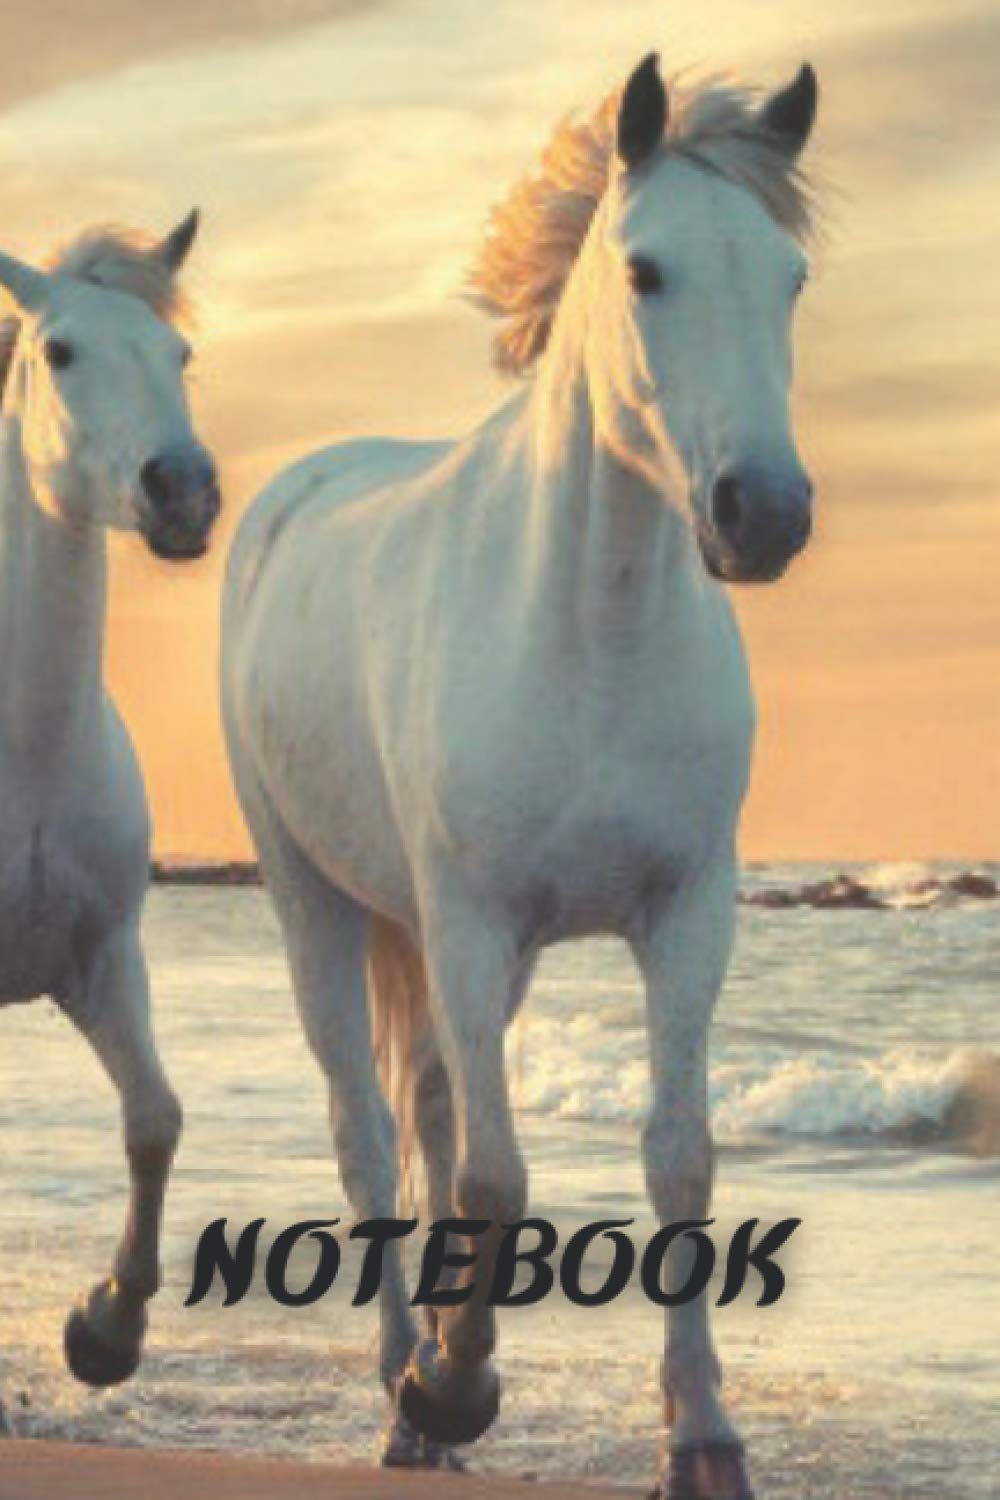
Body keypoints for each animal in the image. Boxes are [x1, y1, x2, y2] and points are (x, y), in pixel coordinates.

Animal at [221, 53, 818, 1500]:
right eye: (646, 271)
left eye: (789, 276)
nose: (763, 514)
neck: (590, 631)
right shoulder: (472, 921)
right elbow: (495, 1176)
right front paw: (456, 1385)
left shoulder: (686, 916)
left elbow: (678, 1159)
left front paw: (703, 1435)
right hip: (317, 904)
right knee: (368, 1130)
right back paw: (406, 1389)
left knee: (428, 1109)